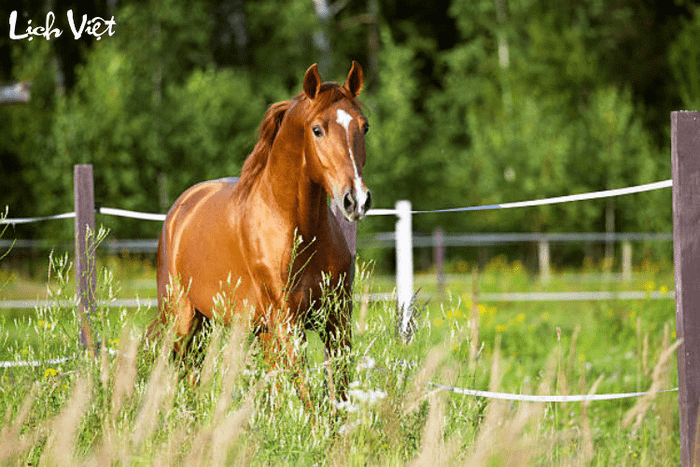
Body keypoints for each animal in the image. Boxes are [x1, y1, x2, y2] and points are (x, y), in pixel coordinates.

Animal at [154, 60, 372, 400]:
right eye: (317, 130)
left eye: (364, 127)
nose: (356, 200)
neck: (301, 231)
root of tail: (180, 208)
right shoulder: (287, 322)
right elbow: (307, 394)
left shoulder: (335, 319)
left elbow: (338, 390)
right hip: (182, 319)